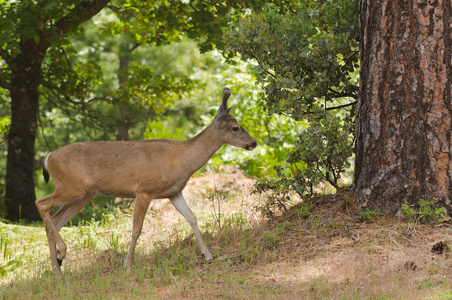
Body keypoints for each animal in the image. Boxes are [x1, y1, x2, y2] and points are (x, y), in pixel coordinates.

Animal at [35, 85, 258, 276]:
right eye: (236, 127)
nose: (254, 142)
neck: (181, 160)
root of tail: (47, 158)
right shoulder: (144, 190)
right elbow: (136, 229)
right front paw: (127, 266)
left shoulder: (174, 192)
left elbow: (192, 218)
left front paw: (209, 255)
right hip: (71, 186)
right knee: (41, 203)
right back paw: (62, 253)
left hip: (84, 194)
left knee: (55, 220)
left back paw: (57, 270)